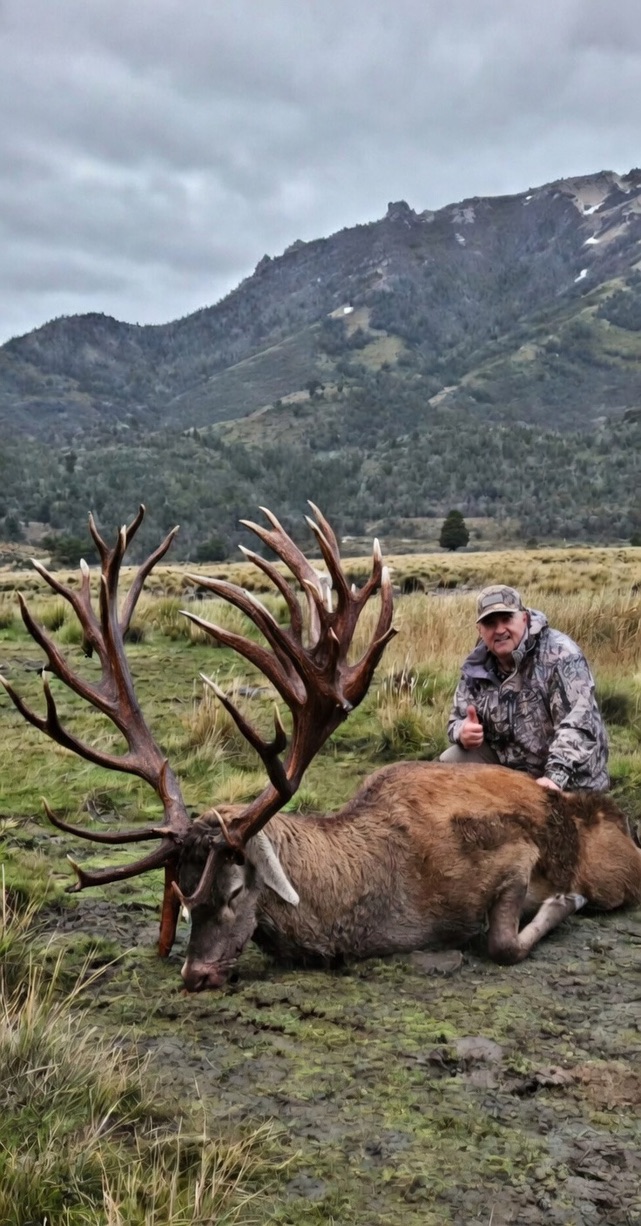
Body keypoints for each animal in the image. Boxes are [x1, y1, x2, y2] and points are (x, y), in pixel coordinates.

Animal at [1, 505, 640, 992]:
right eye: (180, 892)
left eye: (236, 888)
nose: (196, 974)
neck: (384, 893)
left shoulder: (512, 859)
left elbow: (504, 940)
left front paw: (562, 903)